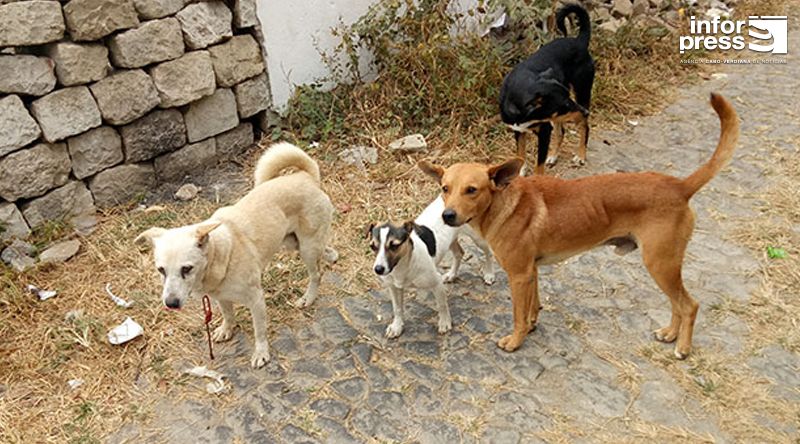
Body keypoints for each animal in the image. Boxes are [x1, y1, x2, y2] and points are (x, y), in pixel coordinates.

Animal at [136, 142, 336, 368]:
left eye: (186, 269)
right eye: (161, 270)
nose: (170, 304)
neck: (219, 255)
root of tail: (306, 176)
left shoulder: (256, 299)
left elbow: (259, 330)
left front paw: (261, 353)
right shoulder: (220, 296)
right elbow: (228, 314)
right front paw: (226, 330)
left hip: (307, 249)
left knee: (316, 274)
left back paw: (308, 298)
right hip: (293, 243)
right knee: (325, 251)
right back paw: (332, 256)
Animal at [368, 196, 494, 338]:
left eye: (394, 245)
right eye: (372, 246)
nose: (378, 269)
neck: (403, 266)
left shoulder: (436, 283)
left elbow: (442, 305)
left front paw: (445, 322)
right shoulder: (393, 287)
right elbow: (397, 308)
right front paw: (397, 326)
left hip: (477, 238)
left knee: (488, 252)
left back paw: (489, 274)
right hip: (450, 241)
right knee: (459, 253)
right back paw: (451, 274)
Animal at [418, 93, 736, 358]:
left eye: (471, 190)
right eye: (445, 189)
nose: (447, 216)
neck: (503, 203)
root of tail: (679, 186)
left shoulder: (519, 275)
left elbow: (518, 314)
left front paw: (516, 340)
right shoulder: (532, 272)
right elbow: (532, 308)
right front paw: (532, 327)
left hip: (661, 263)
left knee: (689, 305)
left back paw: (682, 347)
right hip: (664, 266)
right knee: (676, 304)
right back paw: (670, 333)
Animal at [500, 4, 592, 175]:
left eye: (569, 101)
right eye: (565, 105)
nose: (586, 112)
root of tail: (579, 41)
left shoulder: (544, 131)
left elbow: (539, 165)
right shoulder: (519, 130)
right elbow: (520, 153)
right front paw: (521, 171)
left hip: (582, 91)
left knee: (585, 126)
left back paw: (581, 155)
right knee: (561, 132)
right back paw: (554, 156)